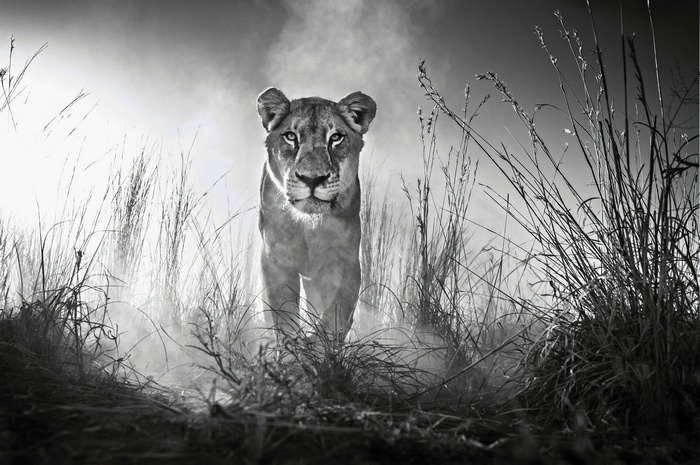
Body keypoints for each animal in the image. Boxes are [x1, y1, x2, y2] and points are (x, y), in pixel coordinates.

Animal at [256, 87, 376, 343]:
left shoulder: (345, 262)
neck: (309, 226)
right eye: (291, 136)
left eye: (336, 137)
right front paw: (292, 347)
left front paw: (317, 345)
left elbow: (335, 314)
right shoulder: (275, 260)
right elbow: (283, 313)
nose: (312, 179)